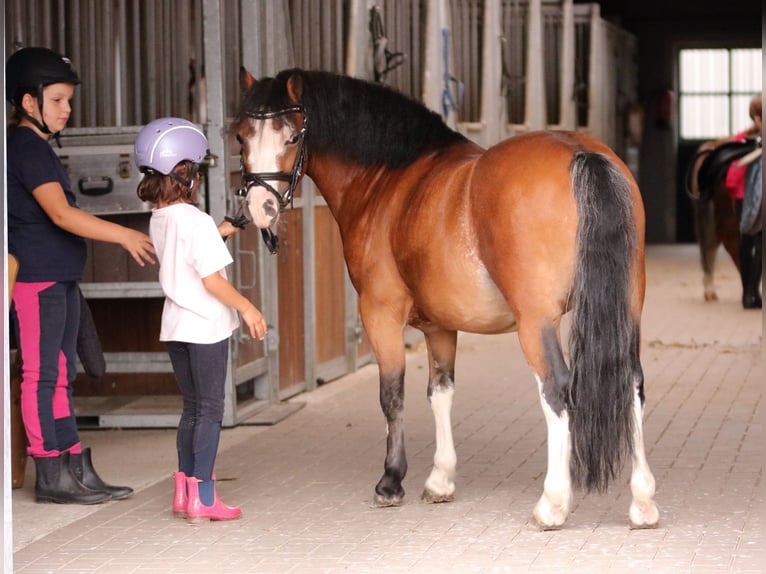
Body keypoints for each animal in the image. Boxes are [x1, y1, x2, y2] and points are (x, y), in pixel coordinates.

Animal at [233, 68, 659, 530]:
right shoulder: (439, 324)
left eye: (292, 136)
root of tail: (580, 152)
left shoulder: (379, 313)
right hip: (626, 311)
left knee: (557, 390)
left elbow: (392, 395)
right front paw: (440, 480)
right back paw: (642, 503)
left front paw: (391, 482)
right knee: (632, 383)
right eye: (241, 135)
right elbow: (440, 393)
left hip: (536, 322)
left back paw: (552, 505)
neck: (389, 179)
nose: (260, 206)